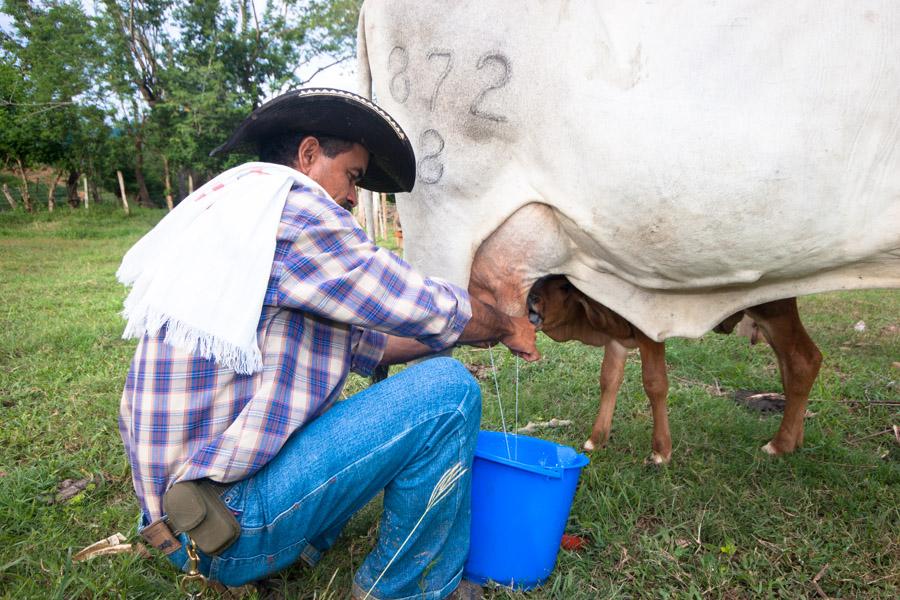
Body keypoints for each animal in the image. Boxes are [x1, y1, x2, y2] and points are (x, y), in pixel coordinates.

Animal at [528, 276, 824, 464]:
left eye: (566, 286)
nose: (531, 298)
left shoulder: (650, 333)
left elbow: (654, 383)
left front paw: (661, 451)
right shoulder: (616, 338)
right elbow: (609, 379)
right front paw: (596, 439)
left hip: (774, 311)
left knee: (804, 361)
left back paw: (780, 444)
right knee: (790, 367)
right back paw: (795, 438)